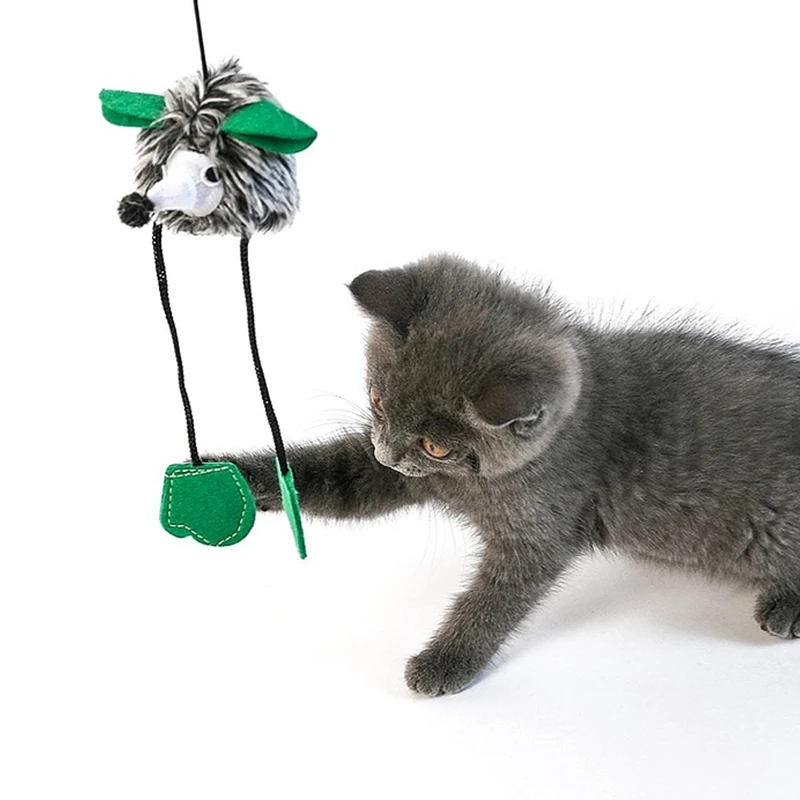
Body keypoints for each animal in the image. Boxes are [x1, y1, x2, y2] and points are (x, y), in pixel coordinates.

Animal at [215, 253, 800, 696]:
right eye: (377, 401)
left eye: (436, 444)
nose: (388, 453)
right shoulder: (394, 475)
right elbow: (330, 479)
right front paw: (233, 481)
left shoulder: (539, 533)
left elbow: (491, 602)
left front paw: (444, 662)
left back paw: (785, 607)